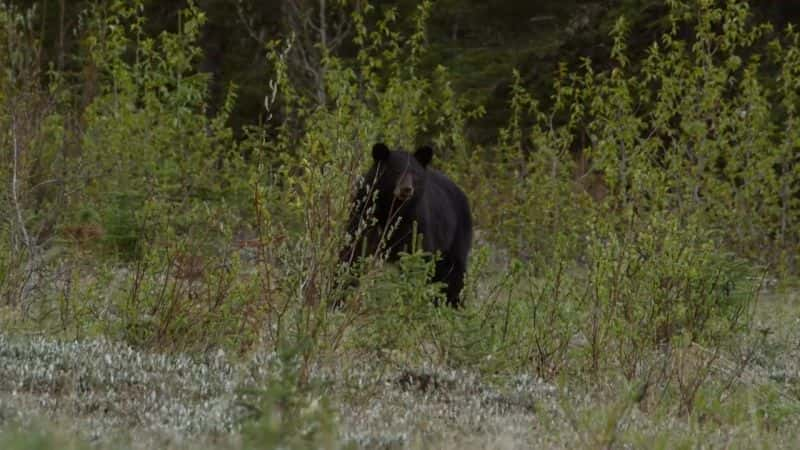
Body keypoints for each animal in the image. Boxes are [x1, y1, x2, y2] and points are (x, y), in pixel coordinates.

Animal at [340, 142, 476, 308]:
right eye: (396, 171)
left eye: (415, 174)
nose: (406, 189)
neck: (392, 210)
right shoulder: (364, 214)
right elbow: (353, 252)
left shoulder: (416, 224)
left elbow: (417, 259)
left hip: (456, 237)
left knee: (454, 274)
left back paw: (453, 304)